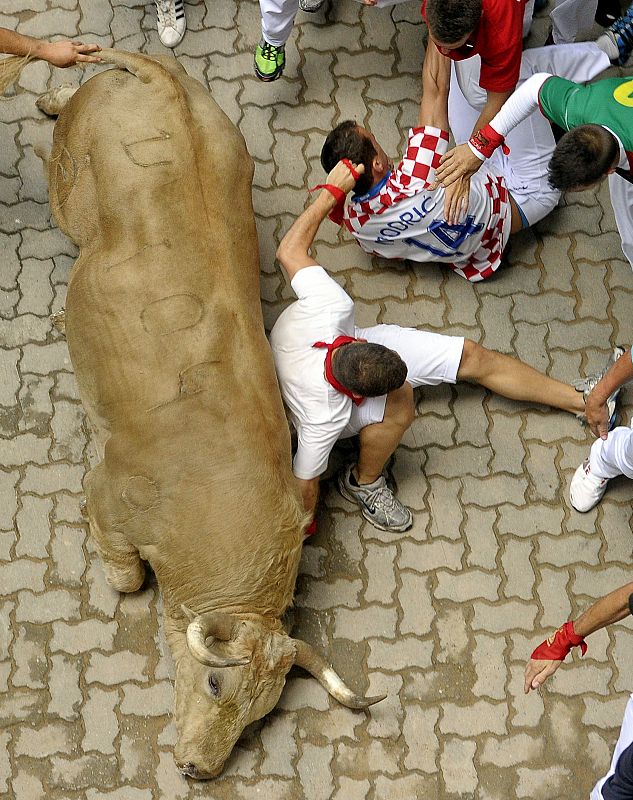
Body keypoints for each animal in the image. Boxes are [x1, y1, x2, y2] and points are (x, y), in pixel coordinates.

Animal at [42, 51, 386, 780]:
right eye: (212, 682)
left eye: (257, 716)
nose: (200, 767)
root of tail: (158, 78)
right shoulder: (105, 495)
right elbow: (123, 578)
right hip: (66, 182)